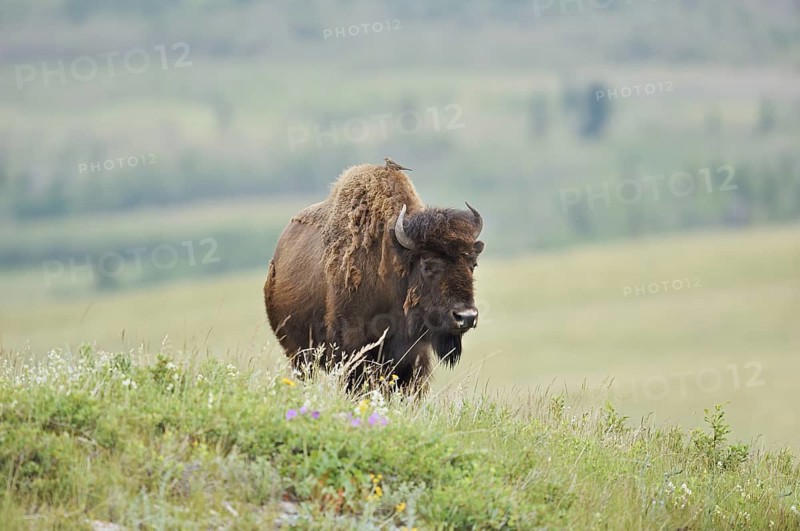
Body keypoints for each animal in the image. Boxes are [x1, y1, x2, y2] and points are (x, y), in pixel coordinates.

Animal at [263, 162, 484, 389]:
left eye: (473, 264)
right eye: (427, 265)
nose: (466, 316)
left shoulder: (414, 354)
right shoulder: (352, 346)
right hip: (299, 355)